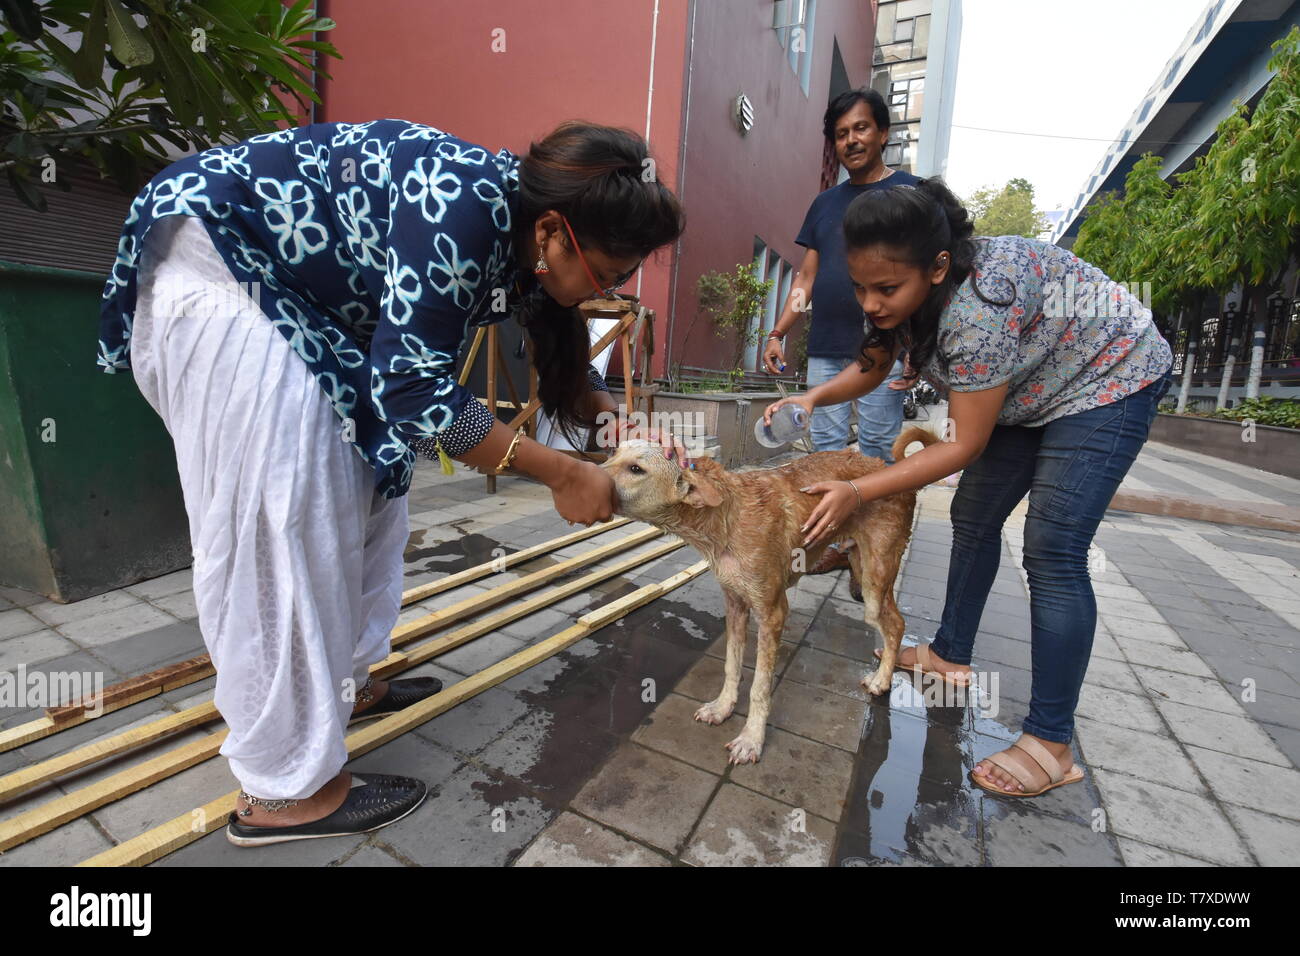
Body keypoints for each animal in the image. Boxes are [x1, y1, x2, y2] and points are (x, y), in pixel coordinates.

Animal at [598, 426, 935, 764]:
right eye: (613, 452)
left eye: (636, 469)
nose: (589, 475)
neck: (727, 517)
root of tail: (889, 465)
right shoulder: (735, 604)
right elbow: (731, 665)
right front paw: (723, 707)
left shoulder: (772, 613)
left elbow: (760, 686)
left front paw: (751, 739)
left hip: (874, 581)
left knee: (896, 623)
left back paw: (882, 679)